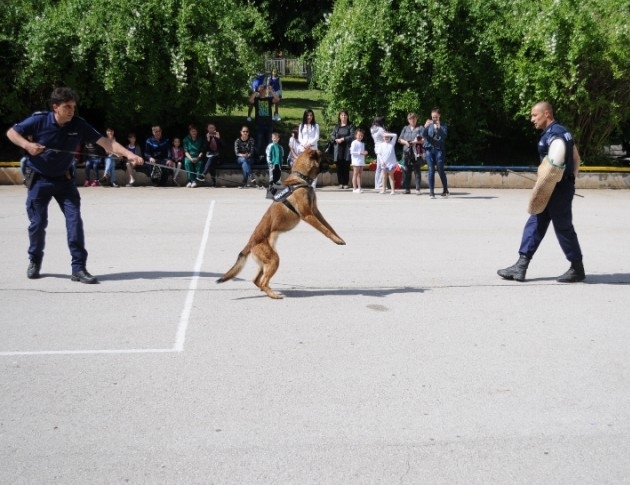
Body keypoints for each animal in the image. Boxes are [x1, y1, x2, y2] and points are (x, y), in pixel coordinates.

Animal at [217, 148, 346, 298]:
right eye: (324, 154)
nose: (335, 159)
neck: (301, 178)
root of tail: (250, 243)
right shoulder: (308, 215)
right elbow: (324, 229)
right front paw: (336, 240)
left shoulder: (316, 211)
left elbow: (329, 227)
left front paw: (339, 238)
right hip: (274, 259)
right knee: (262, 281)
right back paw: (273, 295)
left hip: (267, 261)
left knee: (256, 280)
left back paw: (268, 291)